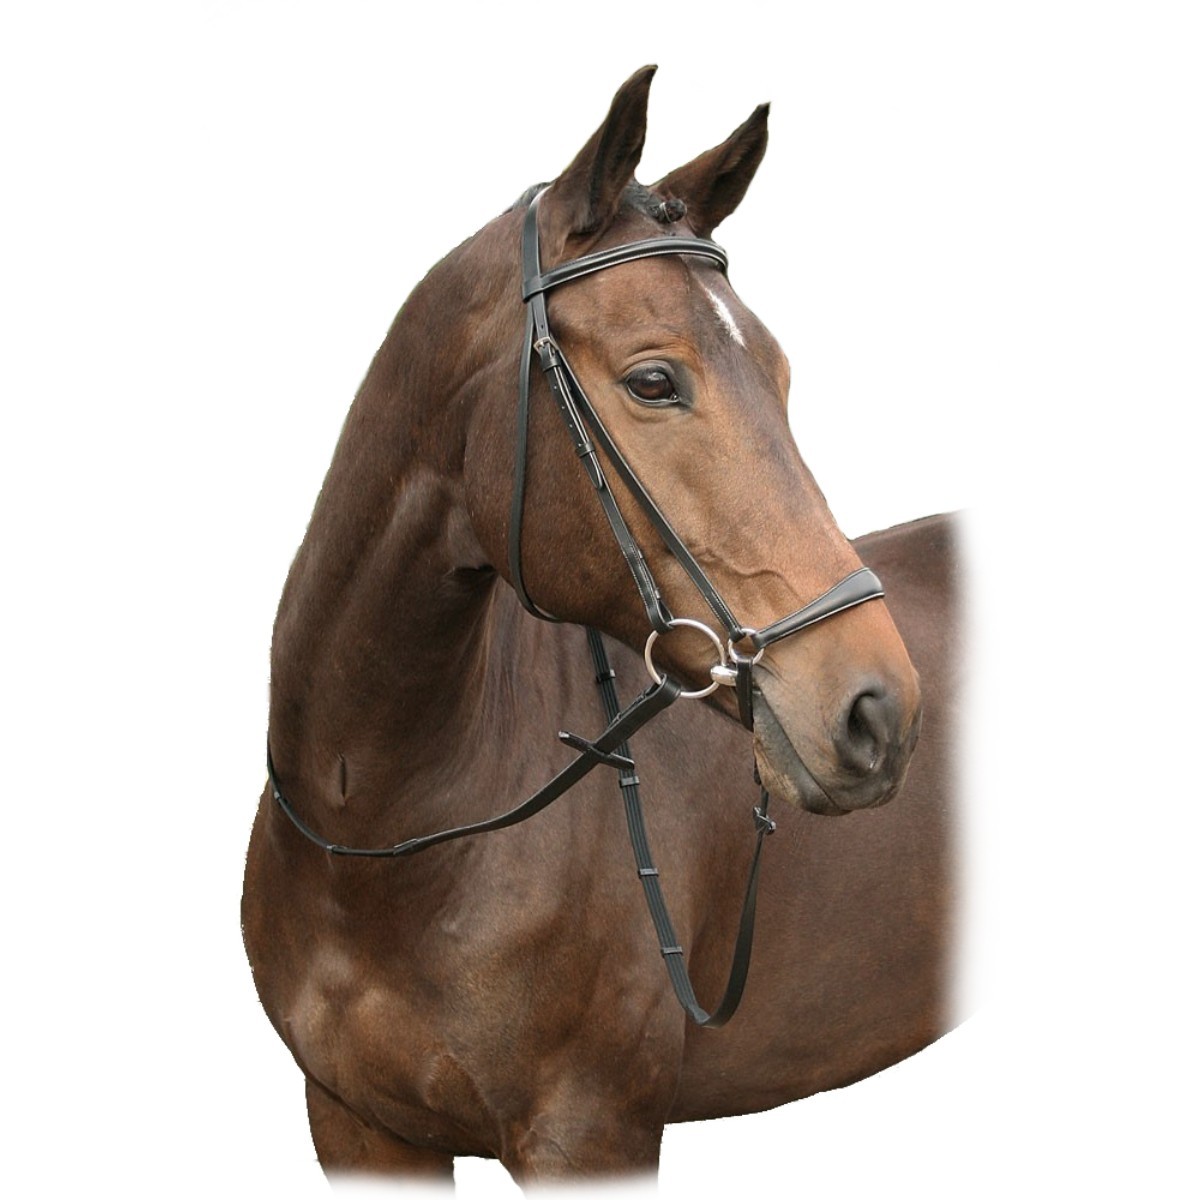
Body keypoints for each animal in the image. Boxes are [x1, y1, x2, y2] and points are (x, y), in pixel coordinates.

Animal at [242, 65, 960, 1188]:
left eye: (781, 377)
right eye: (654, 380)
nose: (878, 711)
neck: (386, 830)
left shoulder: (591, 1136)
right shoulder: (357, 1127)